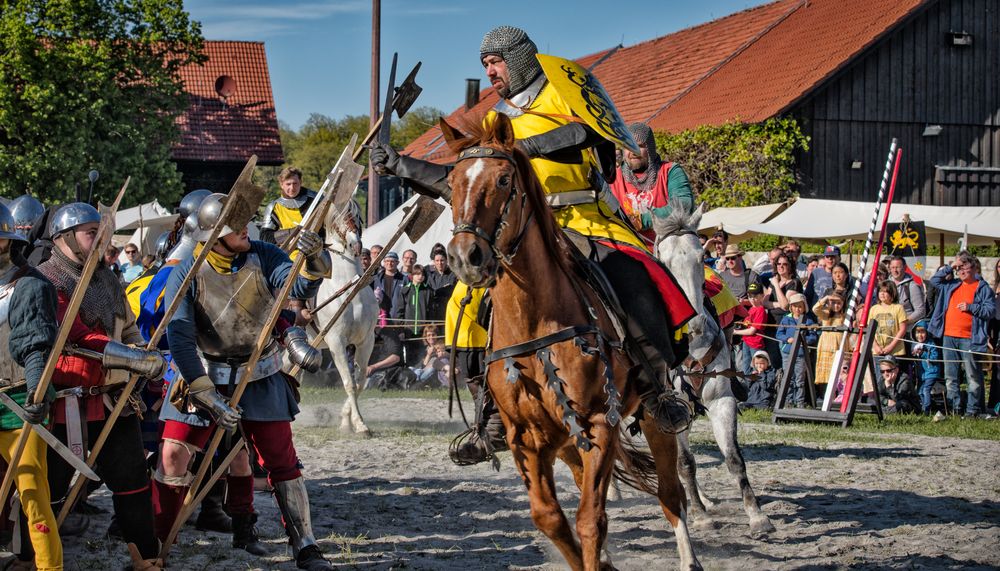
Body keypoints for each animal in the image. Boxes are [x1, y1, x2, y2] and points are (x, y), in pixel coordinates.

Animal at [312, 199, 378, 436]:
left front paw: (346, 420)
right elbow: (349, 382)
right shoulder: (336, 342)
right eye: (337, 217)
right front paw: (359, 424)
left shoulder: (366, 341)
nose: (354, 245)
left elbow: (360, 381)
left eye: (357, 215)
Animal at [446, 113, 704, 571]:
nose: (465, 256)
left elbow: (590, 520)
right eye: (452, 182)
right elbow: (551, 519)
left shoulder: (598, 423)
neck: (535, 324)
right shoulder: (527, 439)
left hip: (652, 418)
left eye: (504, 180)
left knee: (671, 494)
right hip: (565, 442)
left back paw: (689, 559)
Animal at [652, 202, 776, 536]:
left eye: (700, 257)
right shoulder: (671, 408)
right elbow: (685, 463)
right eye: (664, 262)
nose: (694, 323)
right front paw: (699, 516)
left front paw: (757, 515)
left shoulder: (721, 400)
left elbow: (734, 459)